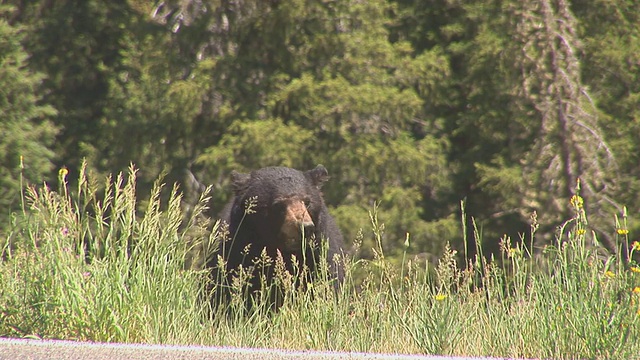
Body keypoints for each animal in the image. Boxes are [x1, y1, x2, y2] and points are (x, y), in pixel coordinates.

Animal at [208, 165, 342, 308]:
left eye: (307, 202)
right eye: (279, 204)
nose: (304, 226)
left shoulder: (319, 251)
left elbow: (329, 279)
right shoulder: (235, 249)